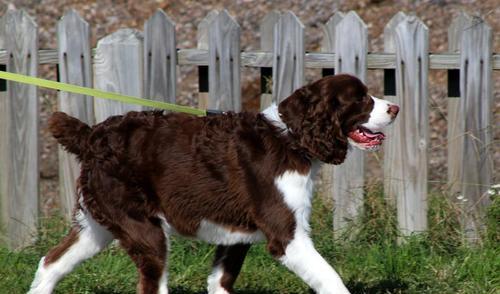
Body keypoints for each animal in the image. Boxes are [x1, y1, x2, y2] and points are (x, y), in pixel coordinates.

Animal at [30, 74, 398, 292]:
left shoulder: (236, 236)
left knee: (50, 262)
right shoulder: (286, 235)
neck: (292, 139)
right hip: (145, 231)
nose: (394, 107)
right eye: (360, 99)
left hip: (98, 224)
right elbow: (330, 278)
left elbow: (220, 280)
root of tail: (92, 136)